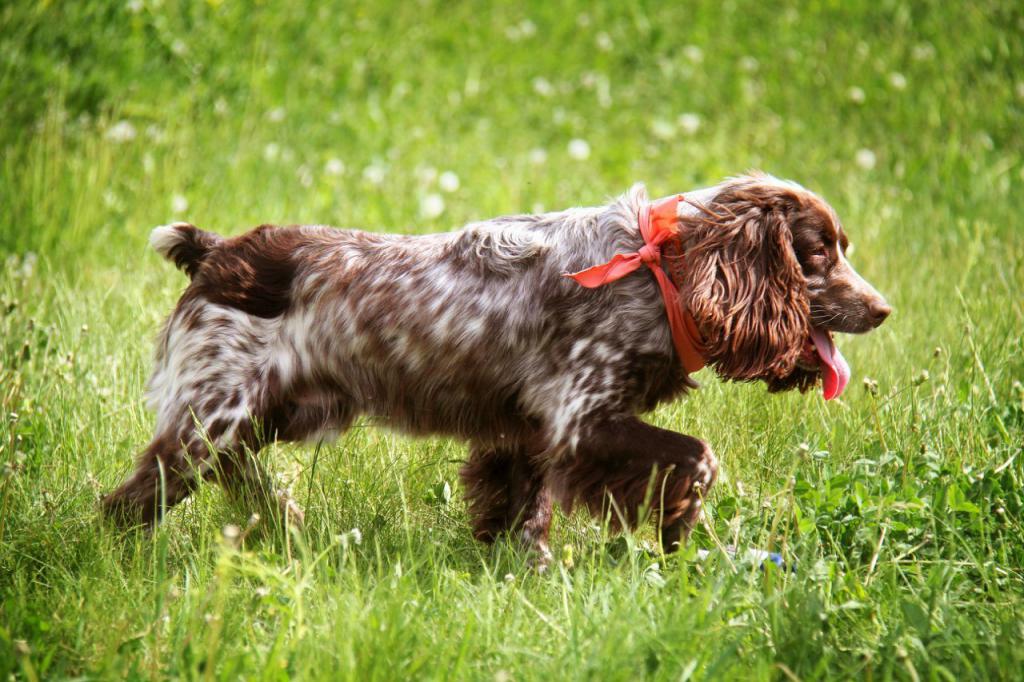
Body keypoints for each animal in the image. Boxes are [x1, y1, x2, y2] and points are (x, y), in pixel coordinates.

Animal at [101, 171, 888, 561]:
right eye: (818, 252)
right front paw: (676, 532)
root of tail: (216, 254)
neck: (659, 271)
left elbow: (523, 513)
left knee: (229, 479)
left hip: (266, 415)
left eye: (840, 247)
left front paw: (524, 571)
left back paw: (279, 520)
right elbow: (697, 458)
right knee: (131, 501)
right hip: (215, 419)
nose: (883, 309)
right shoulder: (580, 420)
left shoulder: (534, 433)